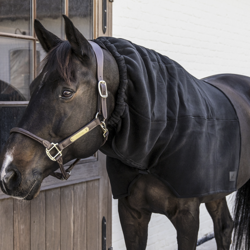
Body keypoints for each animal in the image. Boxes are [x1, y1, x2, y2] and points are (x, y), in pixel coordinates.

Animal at [0, 16, 250, 250]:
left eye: (66, 92)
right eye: (32, 88)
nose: (8, 175)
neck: (159, 140)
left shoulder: (187, 216)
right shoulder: (131, 213)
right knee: (225, 227)